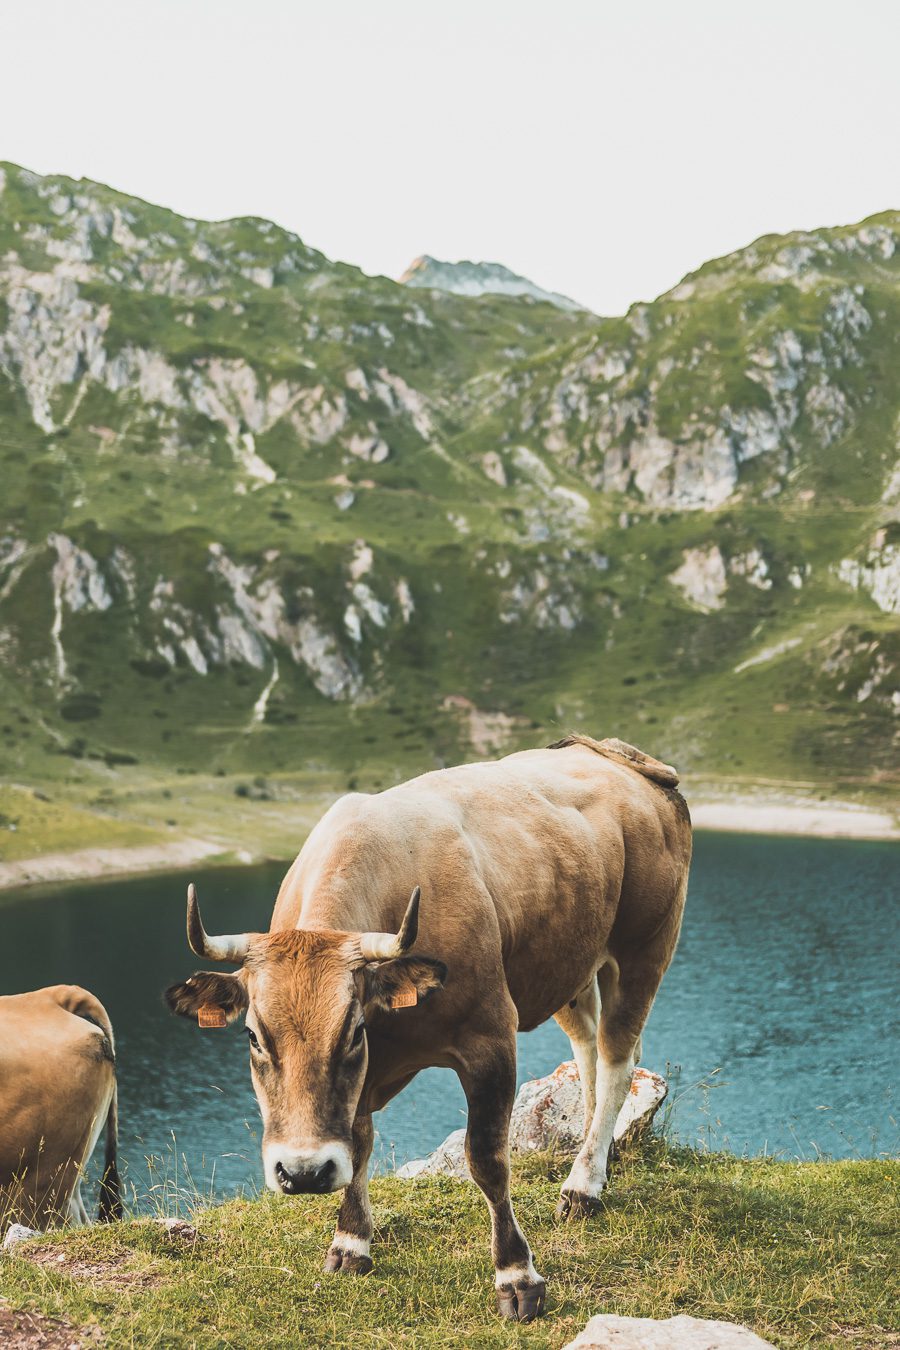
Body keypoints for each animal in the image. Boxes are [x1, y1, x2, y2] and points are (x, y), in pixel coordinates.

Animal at [167, 739, 690, 1317]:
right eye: (254, 1037)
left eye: (351, 1032)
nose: (303, 1173)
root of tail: (621, 758)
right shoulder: (366, 1077)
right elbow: (359, 1141)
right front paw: (351, 1241)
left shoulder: (490, 1038)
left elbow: (486, 1158)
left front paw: (517, 1276)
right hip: (571, 966)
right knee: (589, 1050)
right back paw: (595, 1160)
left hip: (646, 948)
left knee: (618, 1058)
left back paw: (583, 1187)